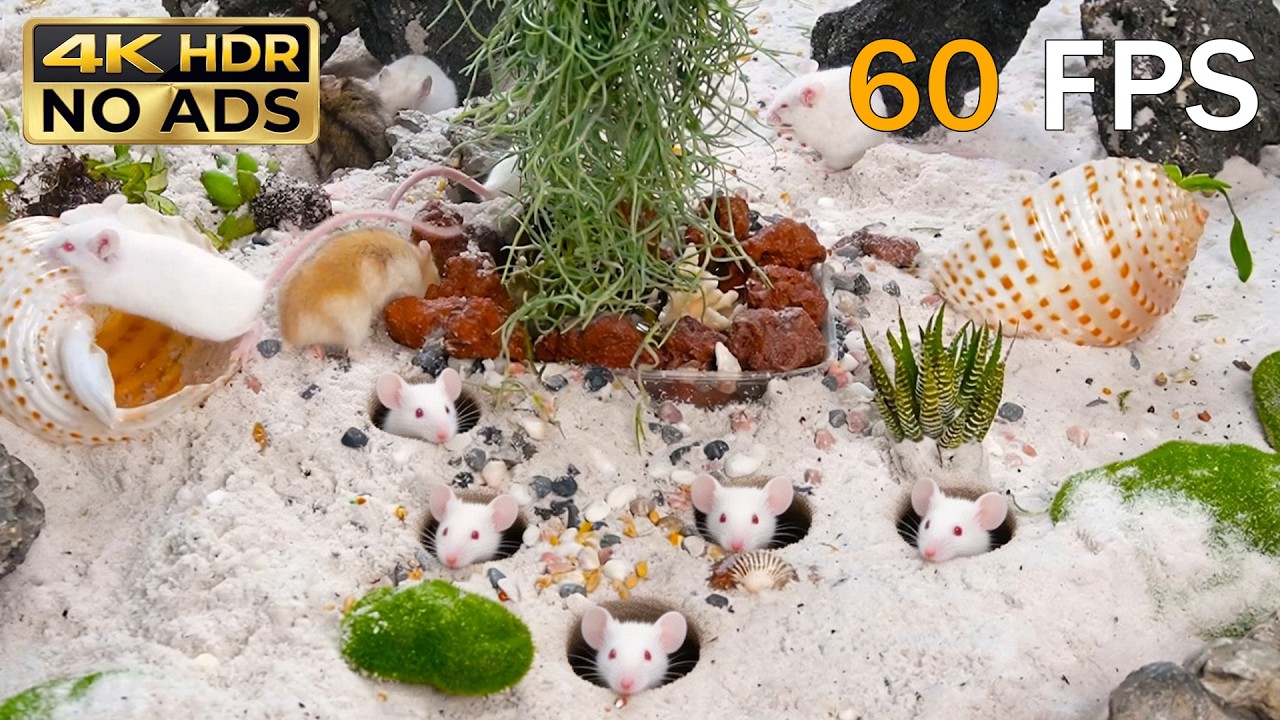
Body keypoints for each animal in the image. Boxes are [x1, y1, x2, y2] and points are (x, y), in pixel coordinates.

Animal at [41, 218, 267, 344]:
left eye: (69, 247)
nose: (40, 250)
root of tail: (260, 291)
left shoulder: (101, 292)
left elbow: (84, 297)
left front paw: (68, 298)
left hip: (222, 331)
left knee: (257, 325)